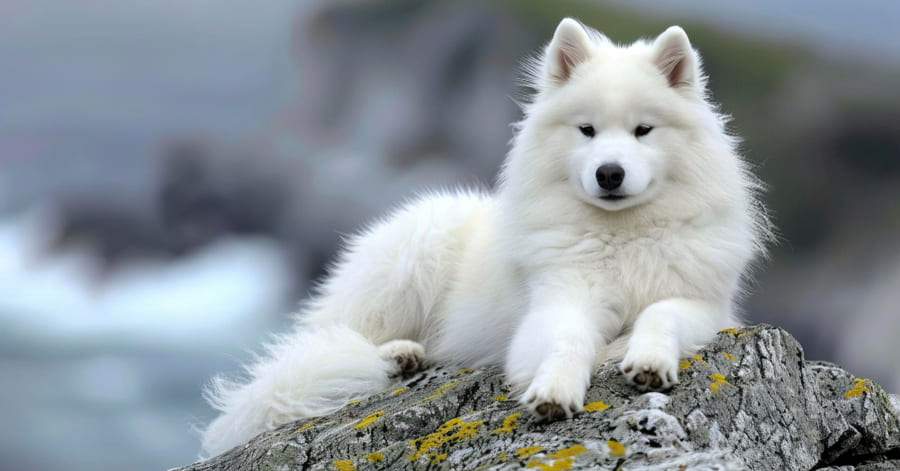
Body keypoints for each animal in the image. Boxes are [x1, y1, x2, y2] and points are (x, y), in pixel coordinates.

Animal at [200, 17, 768, 458]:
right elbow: (566, 339)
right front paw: (555, 389)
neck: (621, 234)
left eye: (643, 131)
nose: (609, 173)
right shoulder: (556, 303)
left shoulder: (705, 306)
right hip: (413, 255)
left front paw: (647, 361)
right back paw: (396, 355)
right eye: (586, 130)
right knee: (336, 337)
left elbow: (659, 314)